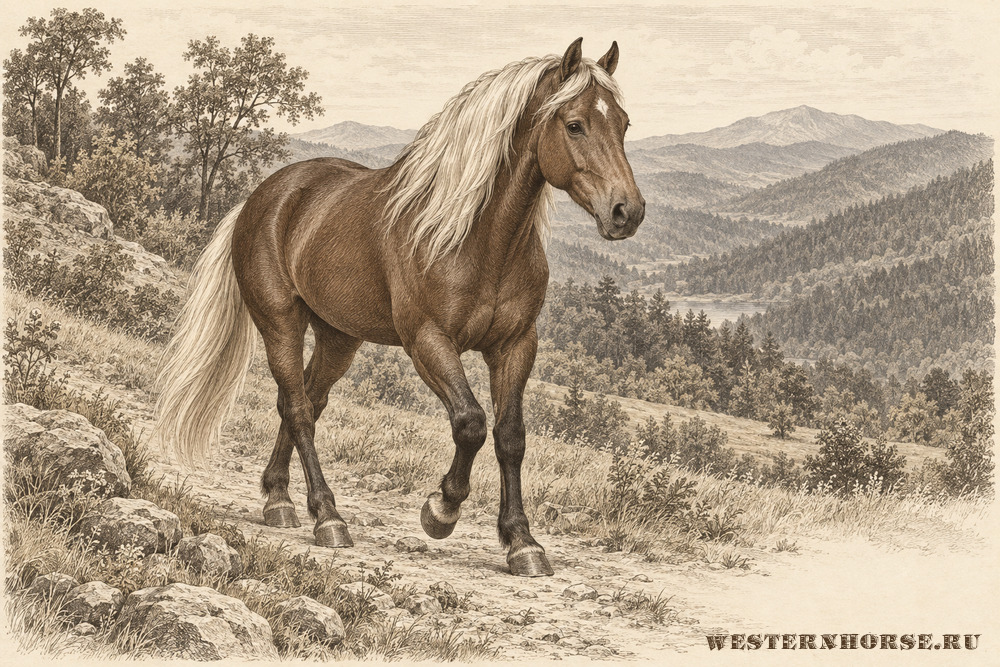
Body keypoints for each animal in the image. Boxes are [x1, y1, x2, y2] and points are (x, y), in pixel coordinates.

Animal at [154, 38, 645, 577]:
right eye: (574, 124)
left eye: (623, 123)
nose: (627, 212)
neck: (474, 237)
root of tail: (263, 197)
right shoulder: (428, 341)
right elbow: (470, 423)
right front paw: (441, 510)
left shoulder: (515, 345)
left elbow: (510, 436)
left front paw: (522, 541)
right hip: (280, 323)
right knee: (299, 409)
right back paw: (328, 517)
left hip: (338, 337)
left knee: (304, 402)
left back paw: (278, 499)